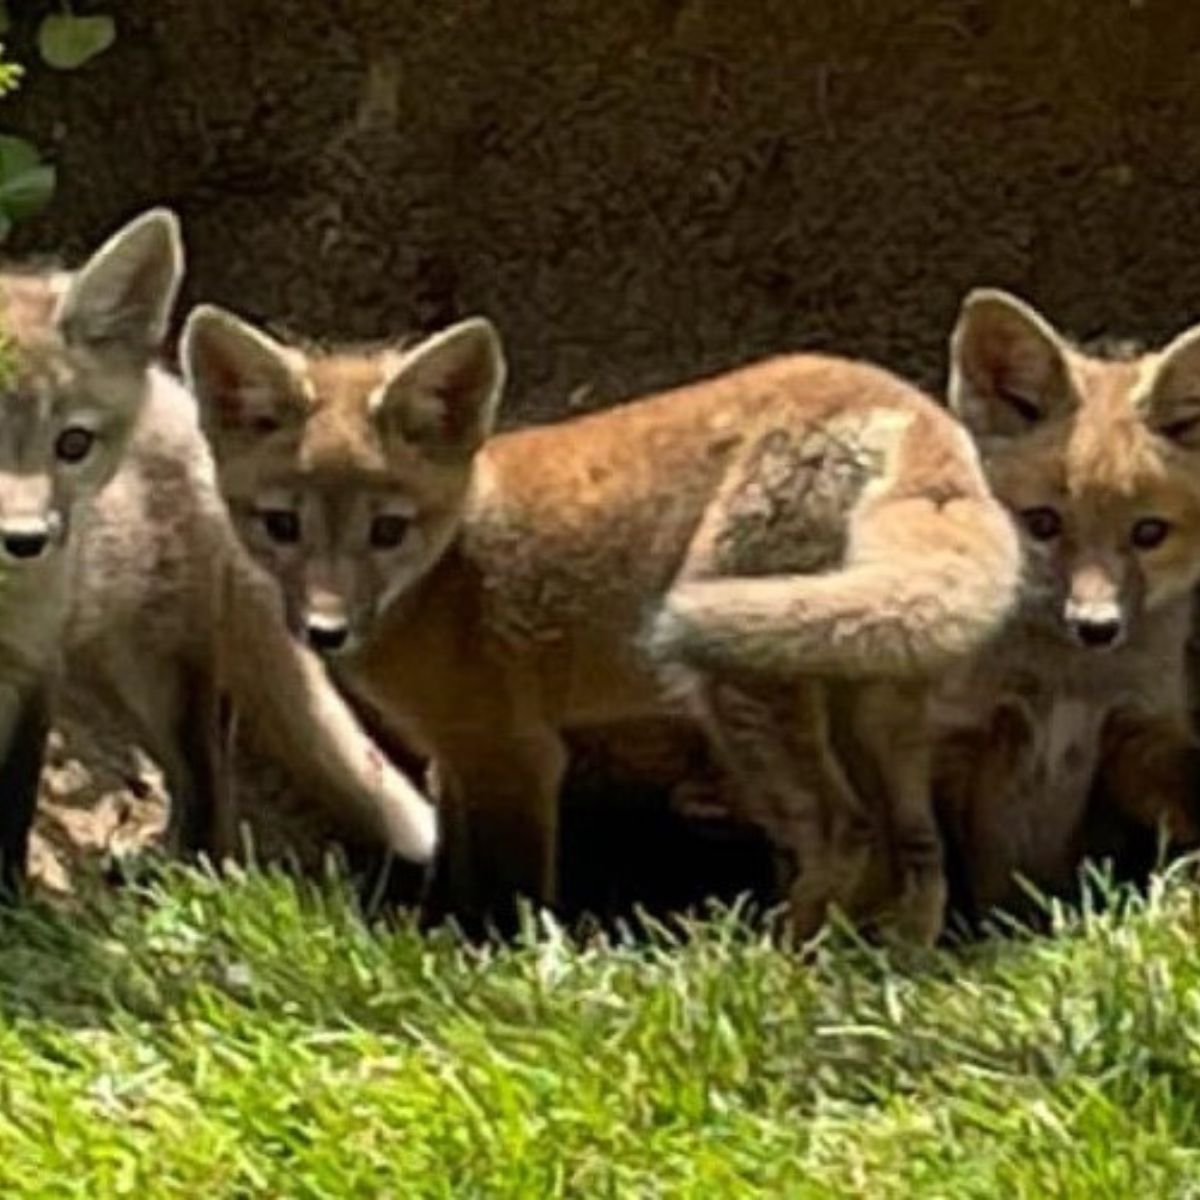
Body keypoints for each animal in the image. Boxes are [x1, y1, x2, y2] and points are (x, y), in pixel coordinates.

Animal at [0, 208, 436, 892]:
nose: (25, 542)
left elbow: (11, 814)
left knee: (206, 782)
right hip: (108, 670)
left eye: (72, 444)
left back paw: (188, 873)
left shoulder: (32, 669)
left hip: (154, 670)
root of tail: (175, 389)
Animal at [180, 312, 1022, 945]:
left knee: (845, 833)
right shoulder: (456, 760)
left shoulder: (513, 753)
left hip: (739, 692)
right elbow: (453, 879)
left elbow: (508, 899)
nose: (325, 630)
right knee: (917, 855)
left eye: (388, 531)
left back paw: (783, 968)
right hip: (871, 705)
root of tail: (911, 408)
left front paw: (494, 980)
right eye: (281, 526)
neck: (449, 572)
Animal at [936, 288, 1200, 916]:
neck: (1064, 687)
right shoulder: (950, 739)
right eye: (1042, 524)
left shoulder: (1139, 736)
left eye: (1149, 533)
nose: (1096, 626)